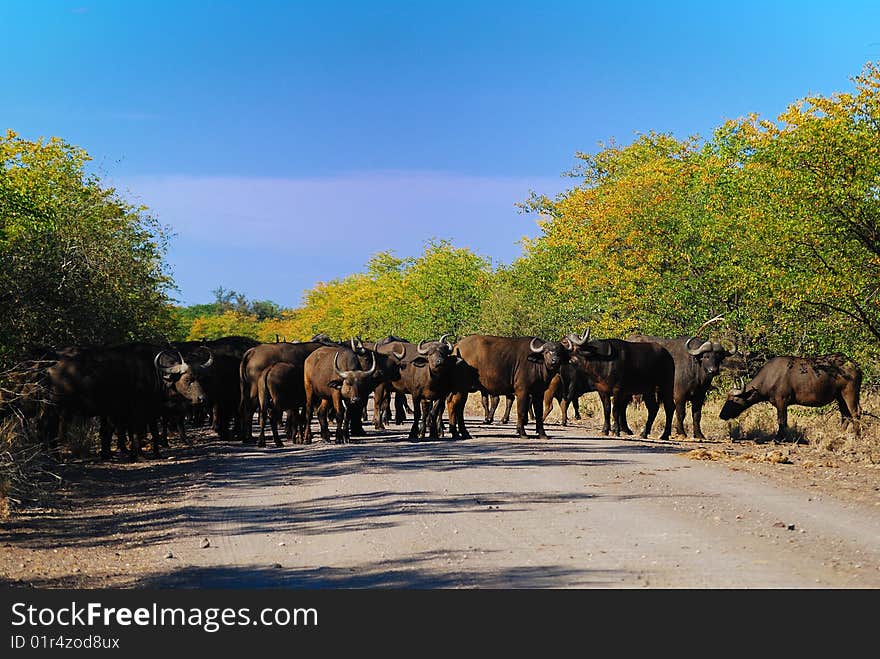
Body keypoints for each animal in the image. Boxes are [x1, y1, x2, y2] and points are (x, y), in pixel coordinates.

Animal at [720, 354, 864, 440]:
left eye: (734, 399)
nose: (722, 415)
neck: (770, 377)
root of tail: (855, 366)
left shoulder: (782, 401)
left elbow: (782, 420)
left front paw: (779, 438)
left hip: (849, 393)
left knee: (855, 413)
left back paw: (857, 436)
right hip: (839, 397)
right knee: (845, 415)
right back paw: (839, 434)